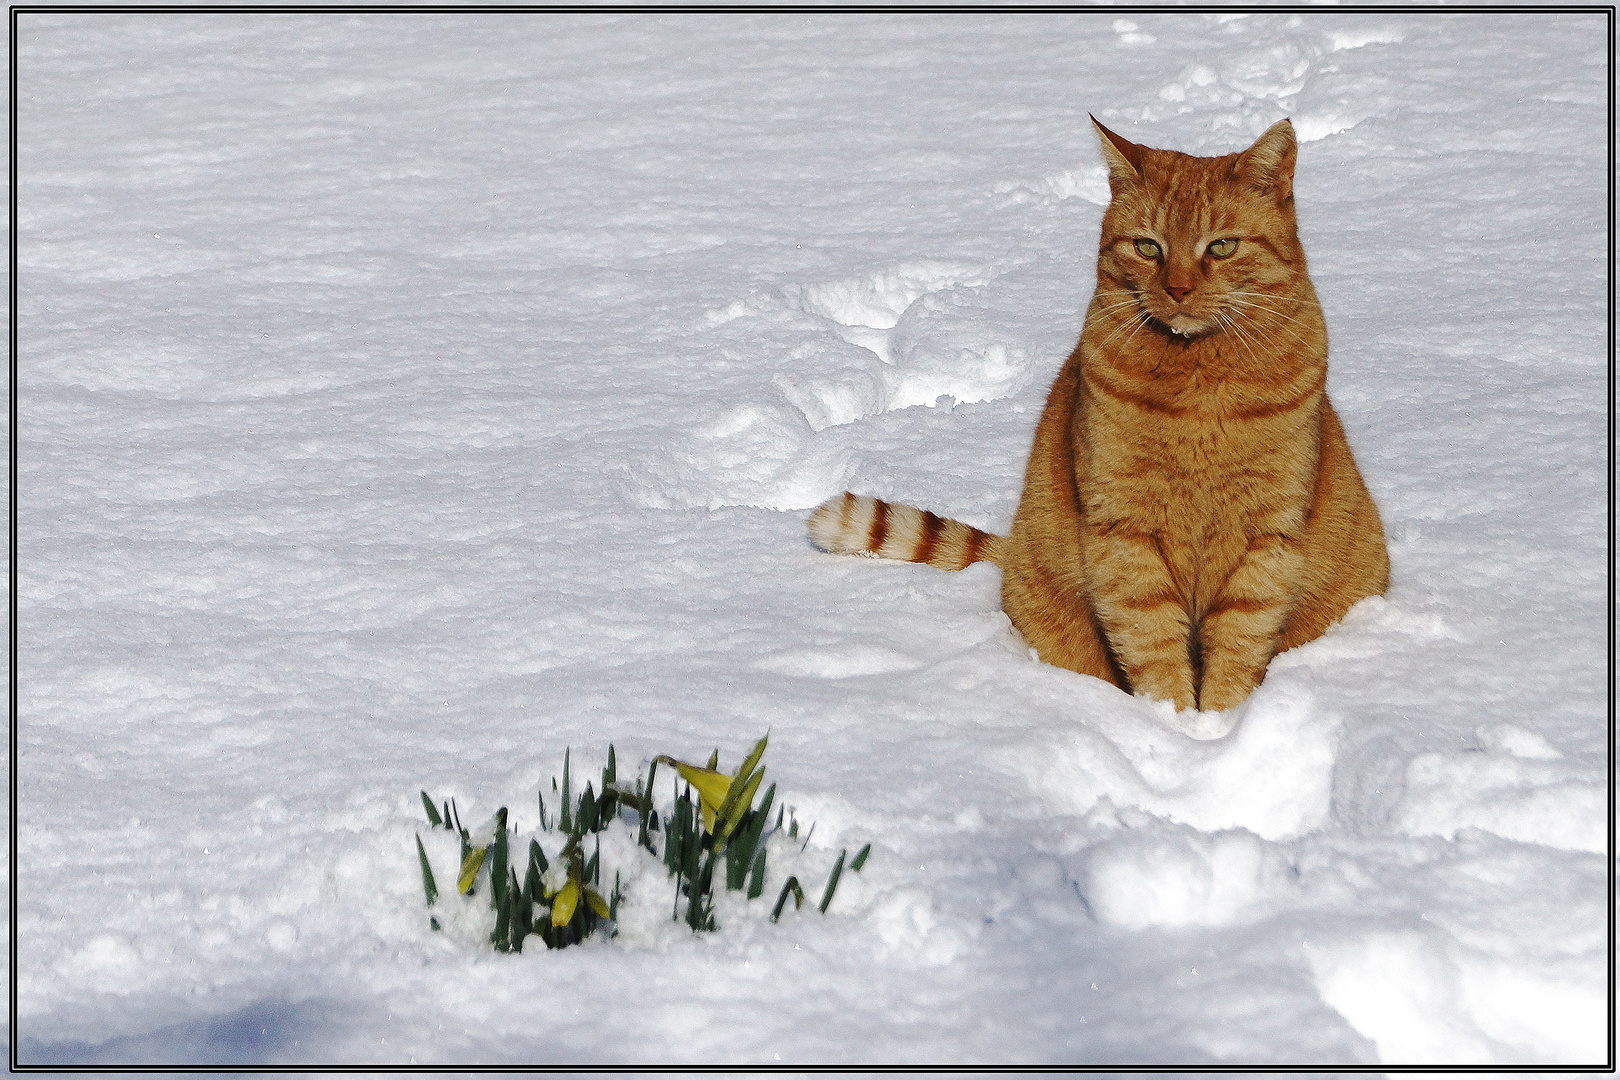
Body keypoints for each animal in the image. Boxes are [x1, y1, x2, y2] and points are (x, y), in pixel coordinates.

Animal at [803, 118, 1386, 712]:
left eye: (1222, 246)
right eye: (1148, 247)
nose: (1177, 288)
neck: (1198, 383)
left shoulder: (1269, 534)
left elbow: (1240, 644)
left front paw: (1219, 721)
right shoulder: (1123, 530)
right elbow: (1152, 640)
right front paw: (1173, 720)